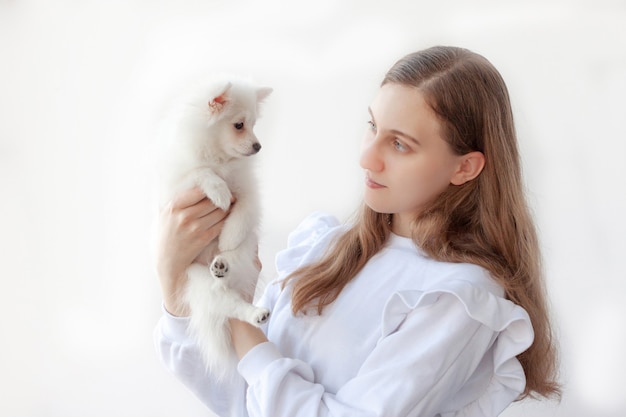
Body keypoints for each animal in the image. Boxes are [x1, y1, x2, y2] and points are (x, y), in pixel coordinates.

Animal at [156, 75, 270, 376]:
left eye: (254, 124)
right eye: (239, 125)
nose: (258, 147)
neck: (221, 161)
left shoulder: (248, 192)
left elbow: (242, 216)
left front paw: (228, 237)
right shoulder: (177, 185)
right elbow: (201, 172)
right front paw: (218, 192)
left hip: (245, 254)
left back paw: (227, 270)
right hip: (197, 279)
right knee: (225, 300)